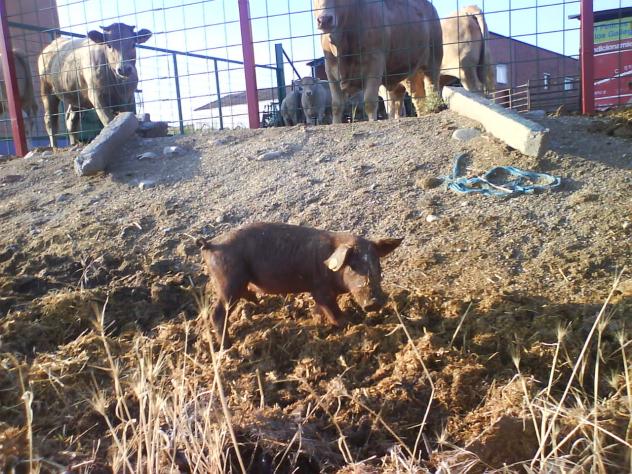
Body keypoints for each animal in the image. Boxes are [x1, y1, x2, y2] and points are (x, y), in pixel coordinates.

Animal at [196, 222, 402, 345]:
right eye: (352, 267)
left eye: (377, 263)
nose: (374, 302)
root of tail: (210, 244)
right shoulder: (320, 289)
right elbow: (332, 310)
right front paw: (350, 324)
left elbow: (319, 309)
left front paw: (317, 318)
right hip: (227, 281)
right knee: (217, 313)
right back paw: (226, 345)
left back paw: (257, 303)